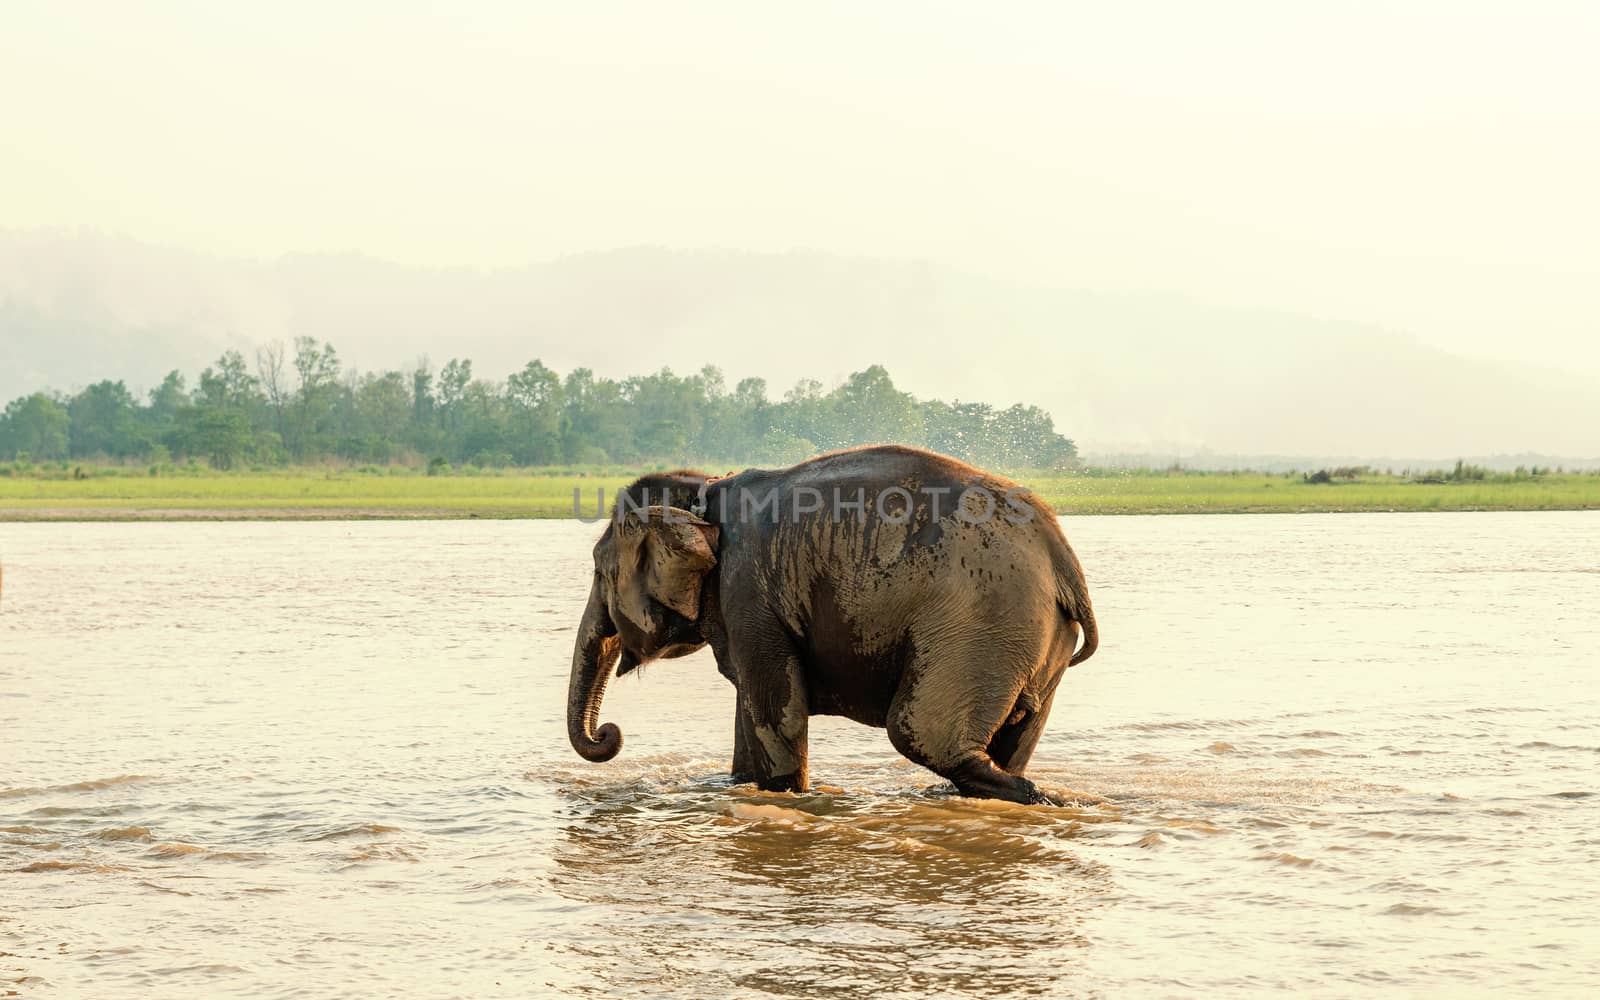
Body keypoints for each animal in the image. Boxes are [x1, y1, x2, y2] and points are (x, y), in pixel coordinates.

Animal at [566, 444, 1100, 803]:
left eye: (599, 572)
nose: (610, 733)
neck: (703, 488)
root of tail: (1062, 557)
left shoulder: (748, 588)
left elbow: (779, 714)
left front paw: (786, 795)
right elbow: (752, 715)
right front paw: (738, 785)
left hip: (979, 621)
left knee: (920, 733)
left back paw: (1042, 797)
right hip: (1033, 639)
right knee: (1010, 739)